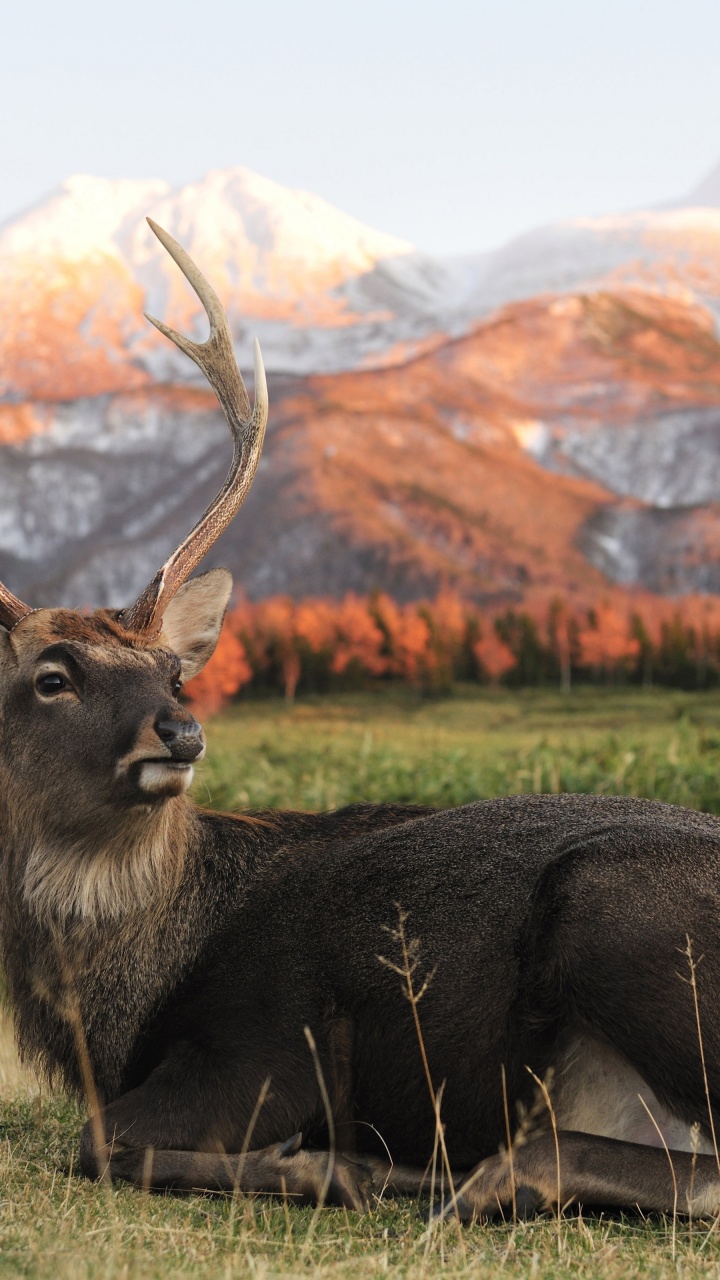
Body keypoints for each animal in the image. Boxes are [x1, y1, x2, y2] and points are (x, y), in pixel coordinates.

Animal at [1, 222, 717, 1228]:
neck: (117, 1016)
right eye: (52, 678)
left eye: (171, 670)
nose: (178, 732)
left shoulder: (271, 1041)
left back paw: (420, 1172)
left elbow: (102, 1143)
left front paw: (320, 1164)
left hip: (610, 906)